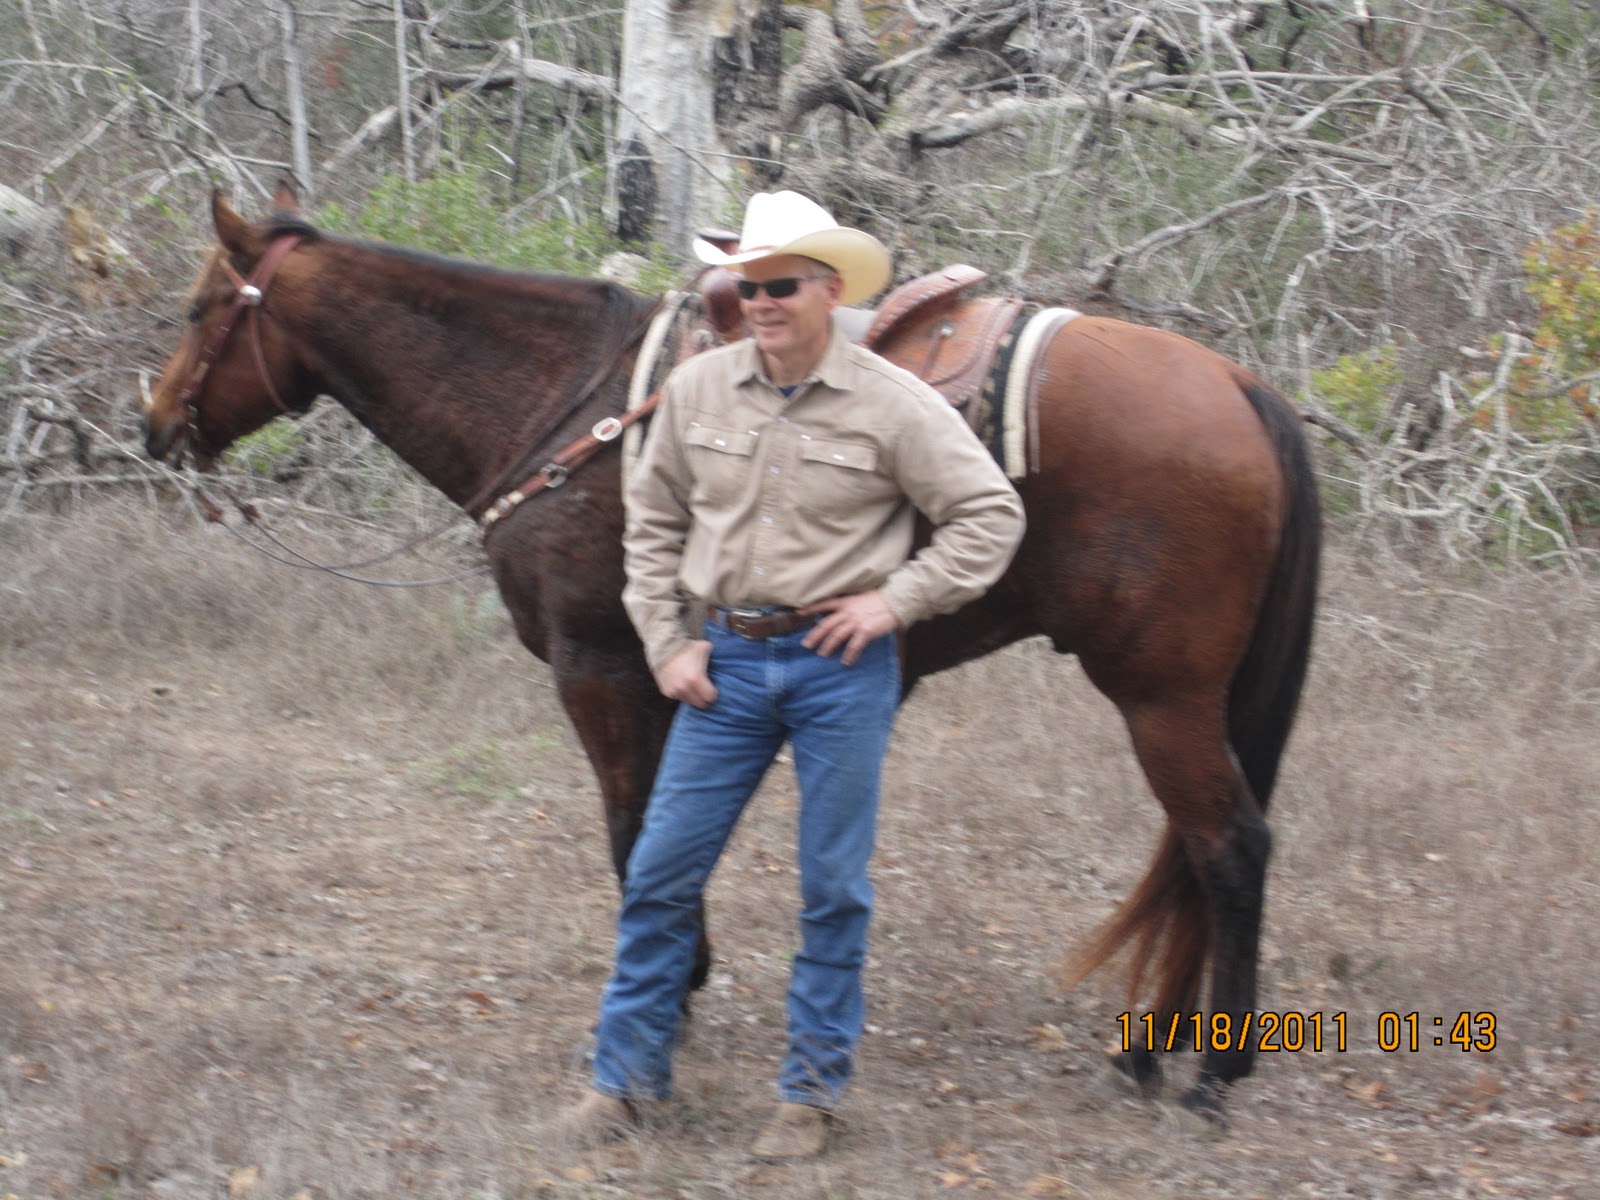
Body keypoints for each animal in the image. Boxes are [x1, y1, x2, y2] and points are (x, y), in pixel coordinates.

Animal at [143, 184, 1320, 1120]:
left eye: (200, 308)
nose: (155, 423)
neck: (561, 398)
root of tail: (1241, 387)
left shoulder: (600, 671)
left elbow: (633, 840)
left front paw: (660, 1019)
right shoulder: (675, 683)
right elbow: (673, 840)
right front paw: (683, 992)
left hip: (1161, 696)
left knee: (1229, 848)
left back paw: (1213, 1077)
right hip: (1182, 701)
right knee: (1194, 851)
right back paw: (1151, 1053)